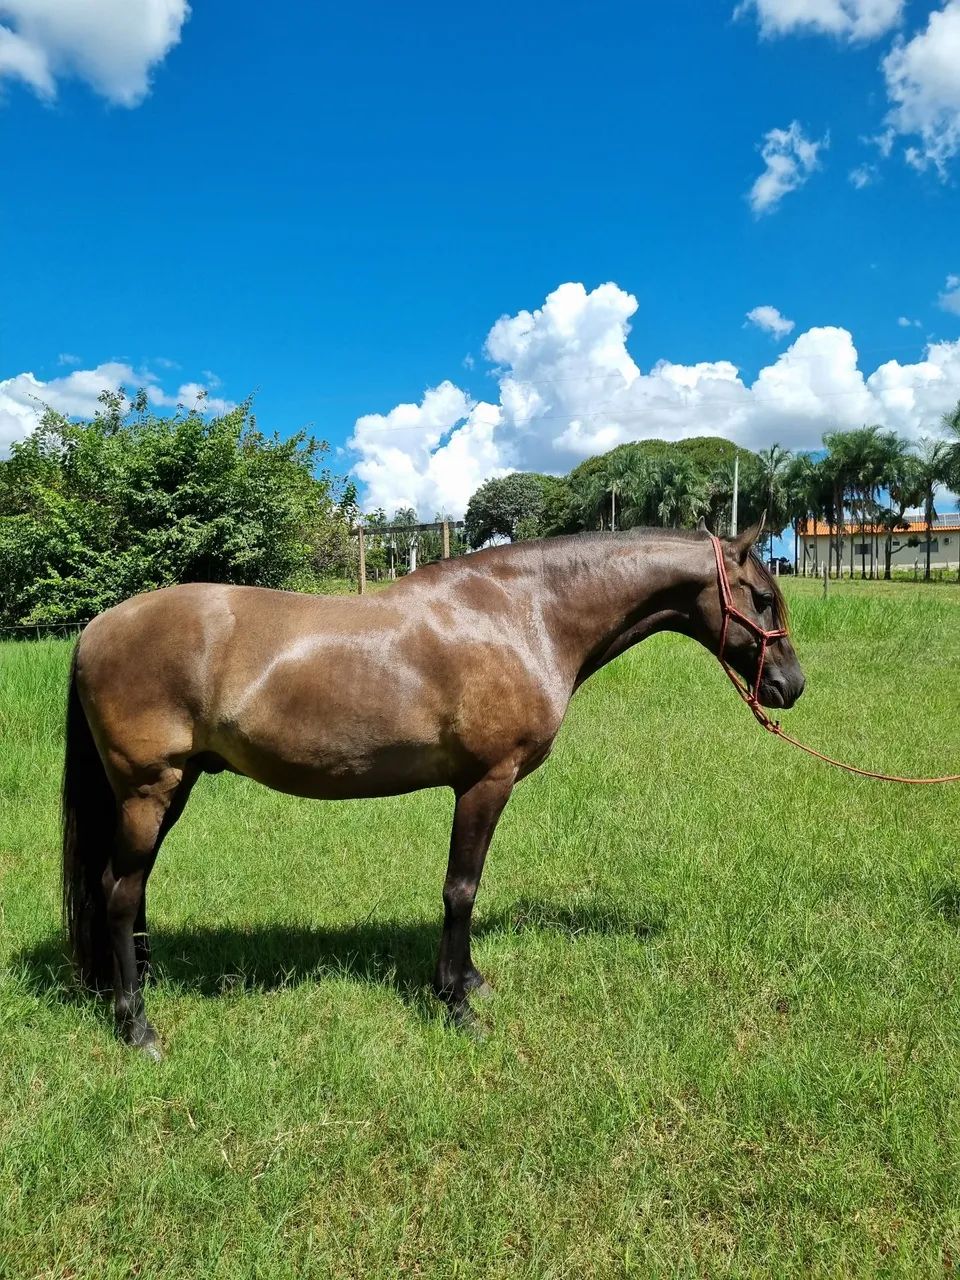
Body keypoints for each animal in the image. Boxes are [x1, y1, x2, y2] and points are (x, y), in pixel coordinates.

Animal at [62, 519, 804, 1057]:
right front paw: (457, 1002)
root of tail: (98, 627)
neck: (522, 613)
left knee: (125, 887)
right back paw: (138, 1026)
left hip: (172, 788)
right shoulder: (485, 781)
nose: (790, 686)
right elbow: (461, 890)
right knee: (119, 893)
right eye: (763, 599)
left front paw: (470, 980)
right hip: (149, 791)